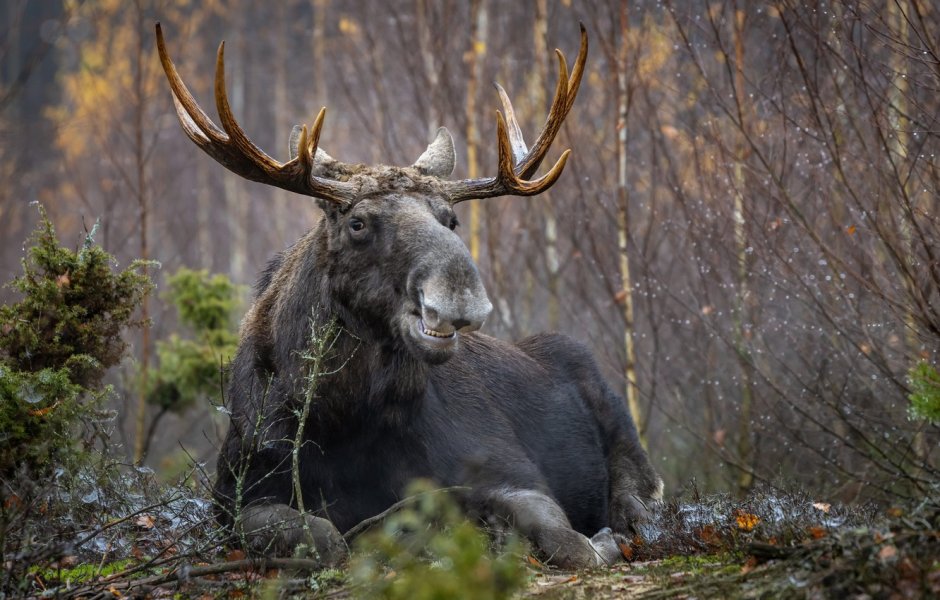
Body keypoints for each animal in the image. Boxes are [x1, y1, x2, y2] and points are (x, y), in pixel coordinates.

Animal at [156, 21, 660, 568]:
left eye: (450, 219)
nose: (459, 296)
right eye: (357, 222)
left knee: (638, 503)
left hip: (629, 447)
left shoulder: (511, 470)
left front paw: (598, 541)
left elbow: (569, 544)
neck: (345, 419)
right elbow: (326, 541)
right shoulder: (236, 495)